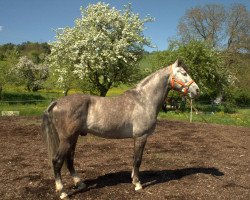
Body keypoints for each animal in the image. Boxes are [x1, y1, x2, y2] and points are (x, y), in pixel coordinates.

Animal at [42, 59, 199, 198]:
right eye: (184, 73)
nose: (196, 90)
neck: (143, 100)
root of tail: (57, 102)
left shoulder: (137, 138)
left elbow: (134, 158)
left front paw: (133, 178)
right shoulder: (141, 136)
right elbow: (138, 159)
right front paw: (137, 184)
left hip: (74, 137)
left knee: (70, 159)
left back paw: (80, 184)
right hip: (67, 139)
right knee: (57, 161)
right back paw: (62, 192)